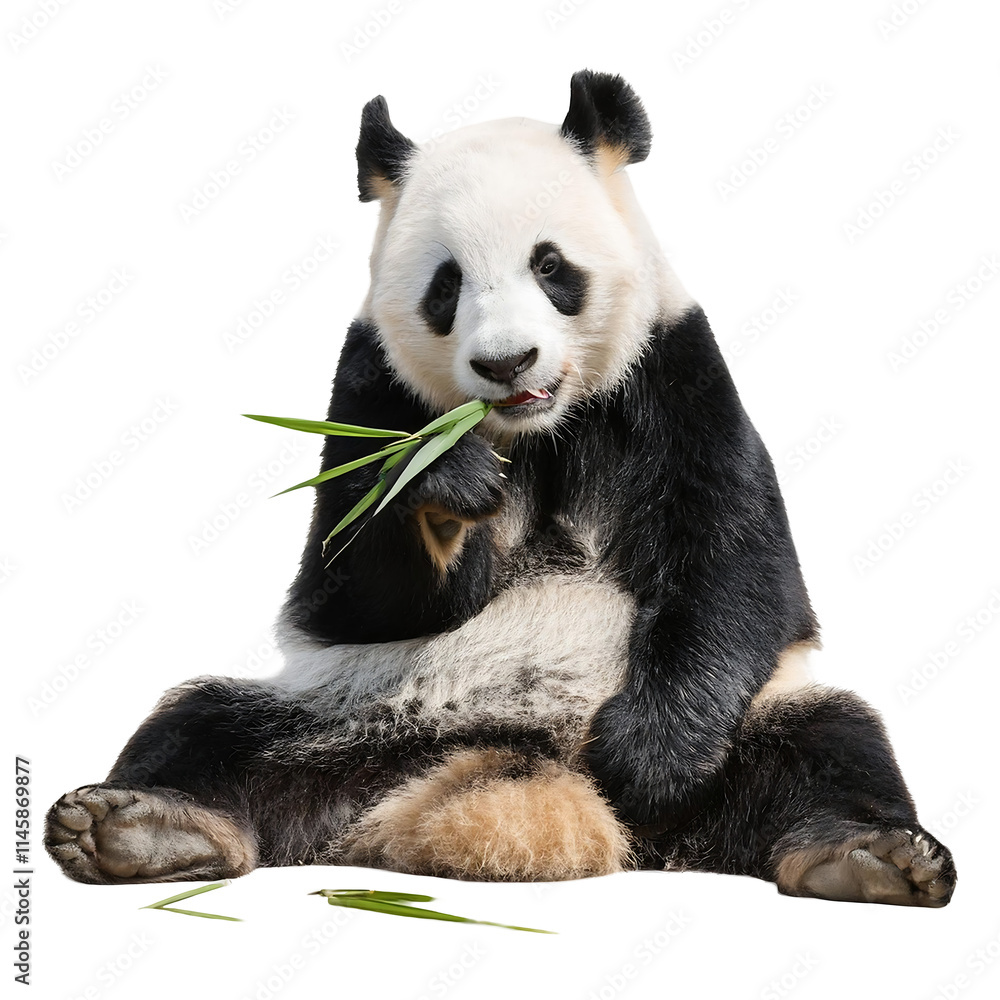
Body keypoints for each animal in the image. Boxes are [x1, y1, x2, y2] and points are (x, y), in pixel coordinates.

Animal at [46, 70, 955, 906]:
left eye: (550, 266)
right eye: (446, 286)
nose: (505, 362)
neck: (537, 431)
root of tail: (523, 753)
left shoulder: (675, 376)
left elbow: (736, 568)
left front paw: (648, 761)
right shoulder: (369, 389)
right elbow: (347, 586)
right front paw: (442, 484)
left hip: (760, 717)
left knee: (837, 742)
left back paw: (868, 857)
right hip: (342, 708)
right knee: (202, 723)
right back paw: (143, 828)